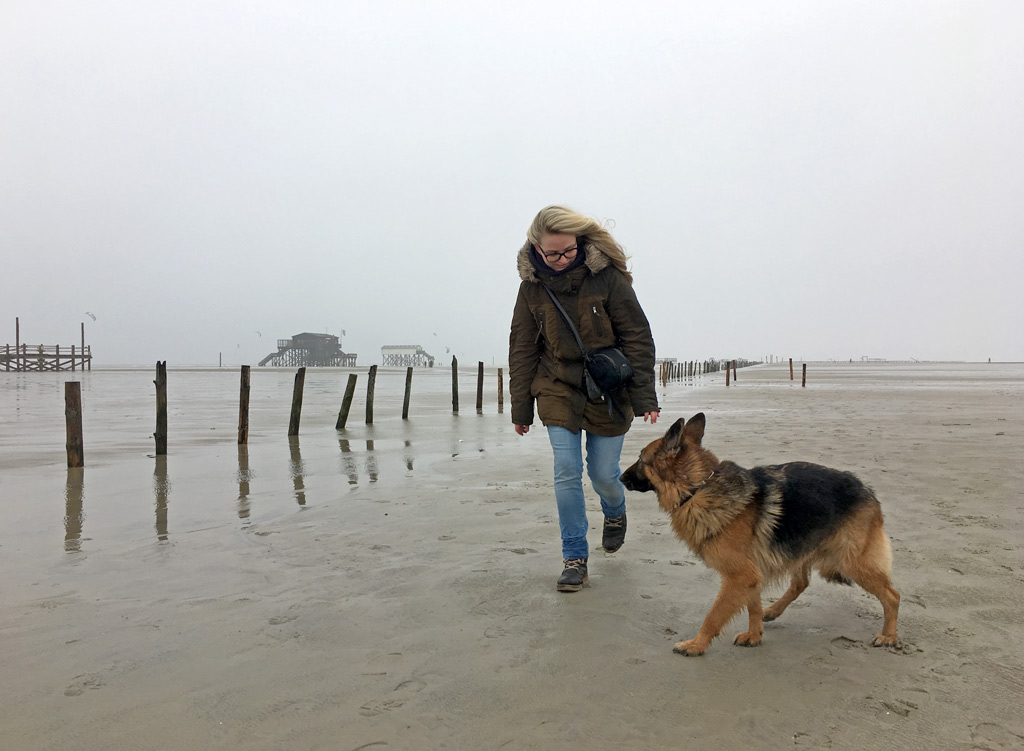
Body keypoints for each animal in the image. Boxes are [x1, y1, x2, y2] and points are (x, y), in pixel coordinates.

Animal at [614, 413, 897, 651]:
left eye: (640, 459)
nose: (620, 478)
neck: (698, 488)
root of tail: (867, 490)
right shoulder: (750, 574)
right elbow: (752, 605)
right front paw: (754, 634)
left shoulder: (741, 575)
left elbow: (714, 615)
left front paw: (696, 645)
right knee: (800, 582)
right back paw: (773, 611)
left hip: (853, 562)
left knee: (892, 596)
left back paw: (889, 636)